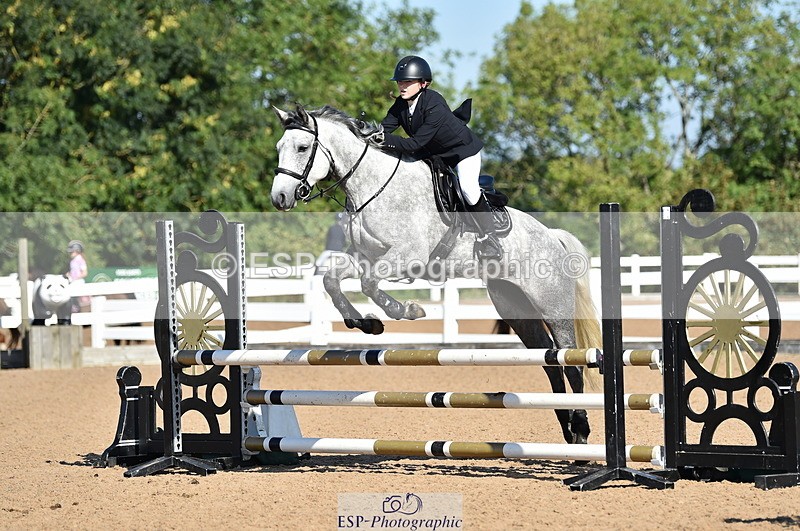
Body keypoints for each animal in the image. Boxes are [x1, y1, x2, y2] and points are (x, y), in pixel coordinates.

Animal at [270, 104, 602, 446]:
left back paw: (580, 428)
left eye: (302, 147)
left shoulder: (406, 256)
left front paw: (406, 310)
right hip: (515, 308)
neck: (374, 187)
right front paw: (365, 323)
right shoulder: (365, 256)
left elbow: (369, 283)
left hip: (552, 305)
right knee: (549, 361)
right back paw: (566, 425)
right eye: (279, 148)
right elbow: (332, 279)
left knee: (570, 362)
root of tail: (552, 236)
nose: (279, 198)